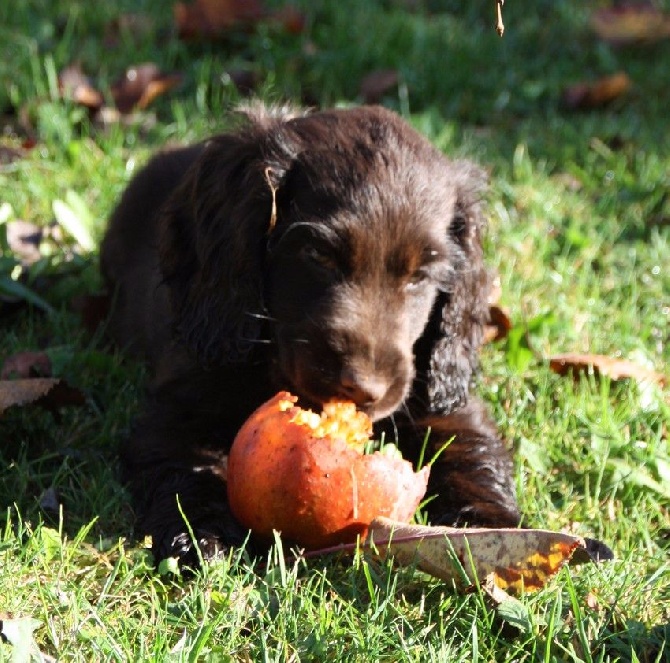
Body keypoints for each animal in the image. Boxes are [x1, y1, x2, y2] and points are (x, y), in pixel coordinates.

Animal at [101, 105, 520, 564]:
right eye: (318, 255)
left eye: (420, 276)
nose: (363, 389)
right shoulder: (183, 399)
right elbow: (185, 465)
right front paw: (200, 533)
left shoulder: (439, 395)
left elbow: (470, 452)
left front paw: (492, 536)